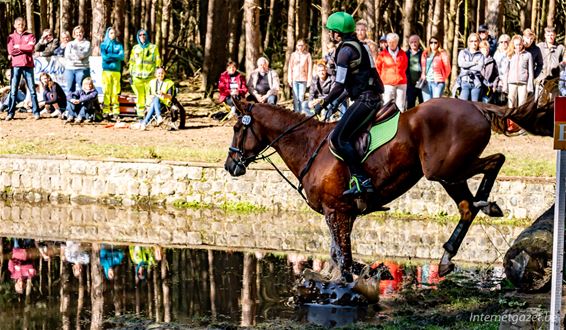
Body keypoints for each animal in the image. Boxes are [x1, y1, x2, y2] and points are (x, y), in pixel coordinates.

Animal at [225, 93, 556, 282]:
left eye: (238, 128)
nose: (230, 165)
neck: (309, 146)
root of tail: (474, 104)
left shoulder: (336, 211)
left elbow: (344, 260)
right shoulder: (341, 214)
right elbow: (337, 255)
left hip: (442, 169)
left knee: (495, 162)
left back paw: (486, 203)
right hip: (448, 174)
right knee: (465, 207)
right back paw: (451, 251)